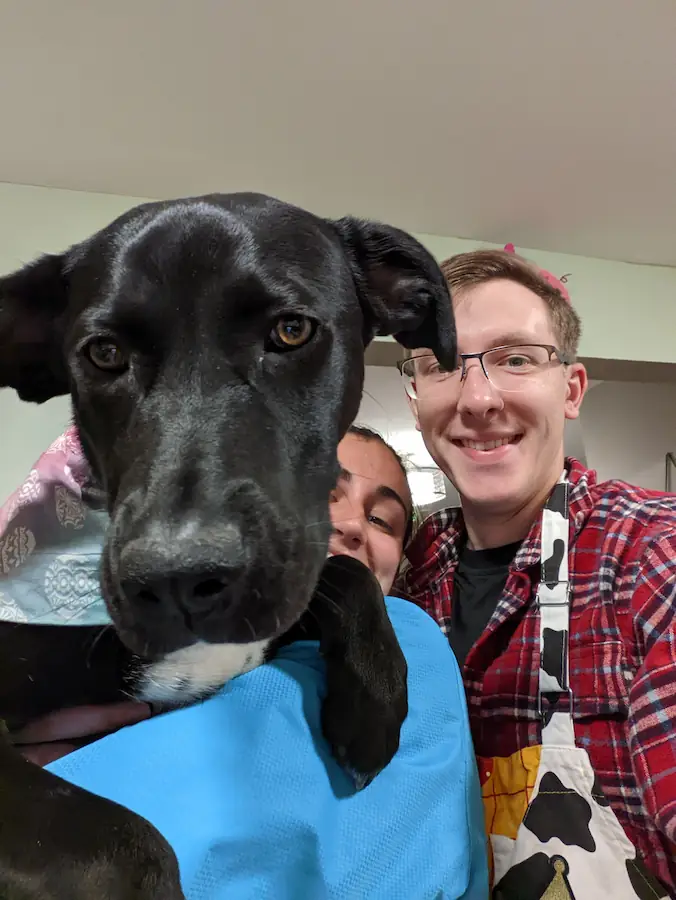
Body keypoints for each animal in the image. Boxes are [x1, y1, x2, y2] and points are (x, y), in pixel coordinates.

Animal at [0, 193, 456, 896]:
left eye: (291, 331)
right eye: (103, 353)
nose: (178, 582)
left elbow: (343, 569)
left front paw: (374, 696)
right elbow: (124, 847)